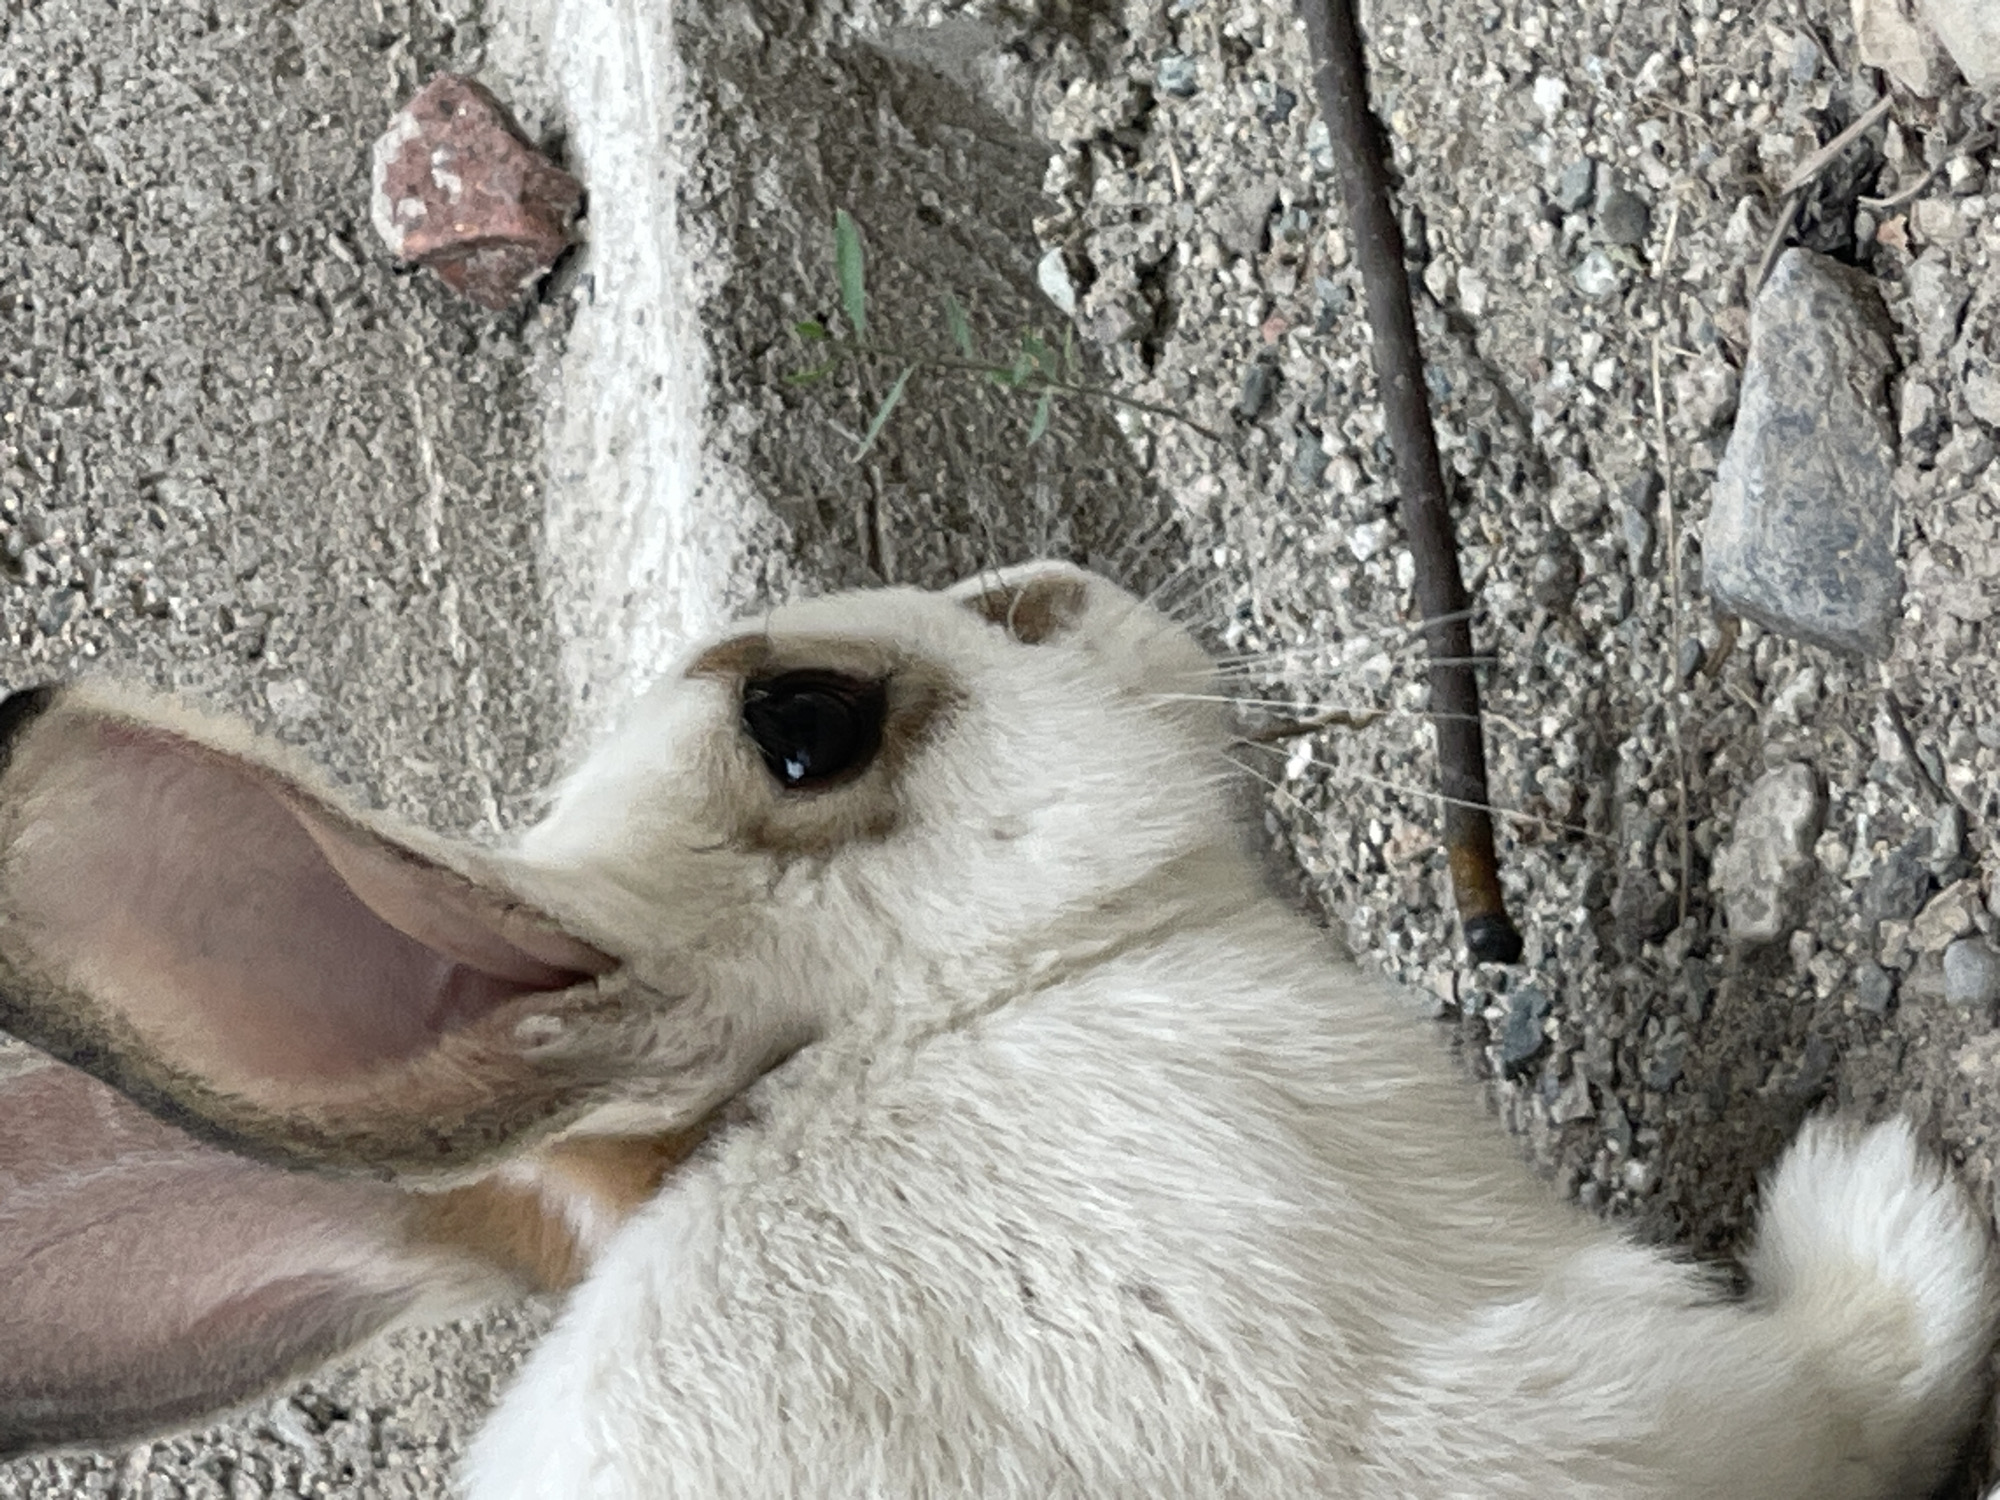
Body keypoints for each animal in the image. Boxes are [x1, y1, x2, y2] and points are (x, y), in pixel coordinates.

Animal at [0, 560, 1992, 1499]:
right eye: (808, 723)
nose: (1058, 589)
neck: (928, 1036)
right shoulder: (1553, 1401)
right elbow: (1857, 1392)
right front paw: (1878, 1199)